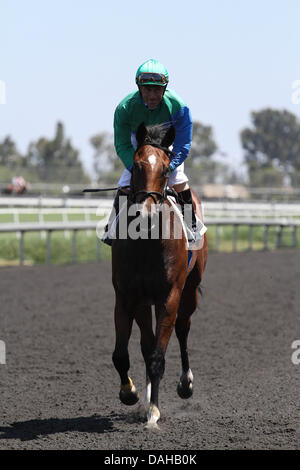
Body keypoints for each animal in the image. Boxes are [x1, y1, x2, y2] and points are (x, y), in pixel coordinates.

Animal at [111, 123, 207, 428]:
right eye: (136, 165)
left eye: (166, 169)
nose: (146, 212)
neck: (147, 243)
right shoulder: (126, 296)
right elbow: (122, 354)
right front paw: (130, 393)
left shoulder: (169, 296)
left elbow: (157, 356)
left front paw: (153, 411)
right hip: (144, 302)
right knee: (146, 342)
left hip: (189, 292)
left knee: (182, 330)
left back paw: (185, 384)